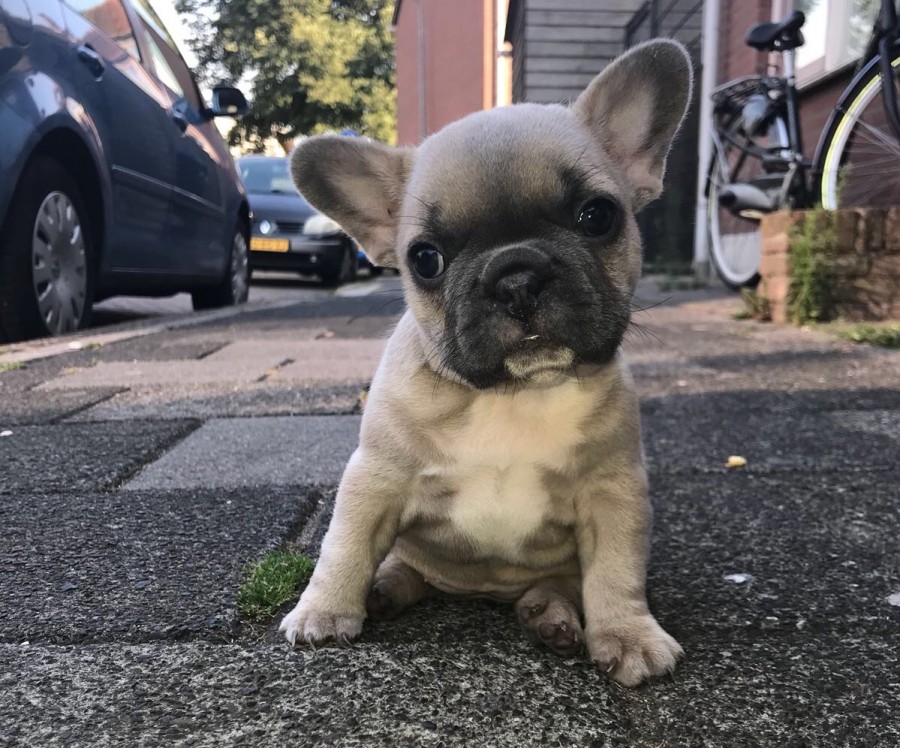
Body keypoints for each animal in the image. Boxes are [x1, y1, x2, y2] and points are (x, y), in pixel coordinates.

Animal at [282, 39, 696, 684]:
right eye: (425, 259)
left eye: (598, 216)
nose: (516, 275)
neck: (512, 395)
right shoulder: (375, 479)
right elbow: (344, 546)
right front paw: (324, 610)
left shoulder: (614, 492)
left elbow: (616, 570)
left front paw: (628, 635)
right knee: (402, 567)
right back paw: (383, 590)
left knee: (560, 586)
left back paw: (549, 615)